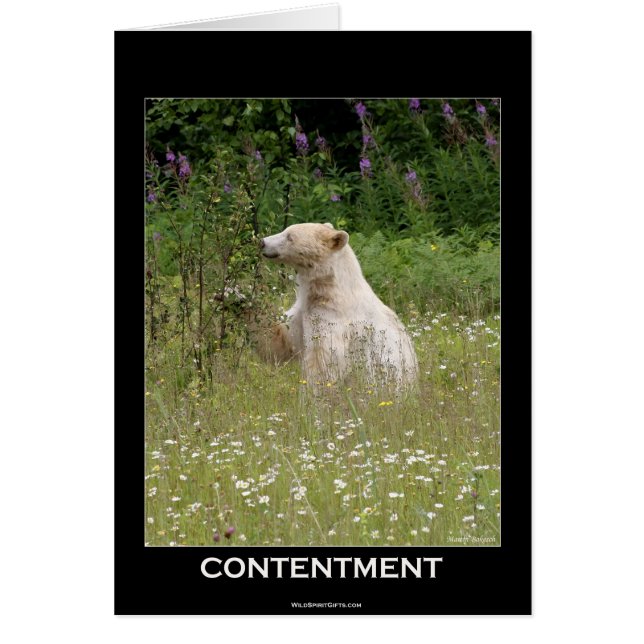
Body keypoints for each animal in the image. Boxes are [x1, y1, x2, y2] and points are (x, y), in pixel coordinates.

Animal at [260, 222, 418, 388]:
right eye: (285, 230)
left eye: (290, 236)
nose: (262, 242)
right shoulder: (303, 309)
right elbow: (281, 340)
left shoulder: (333, 317)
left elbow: (325, 358)